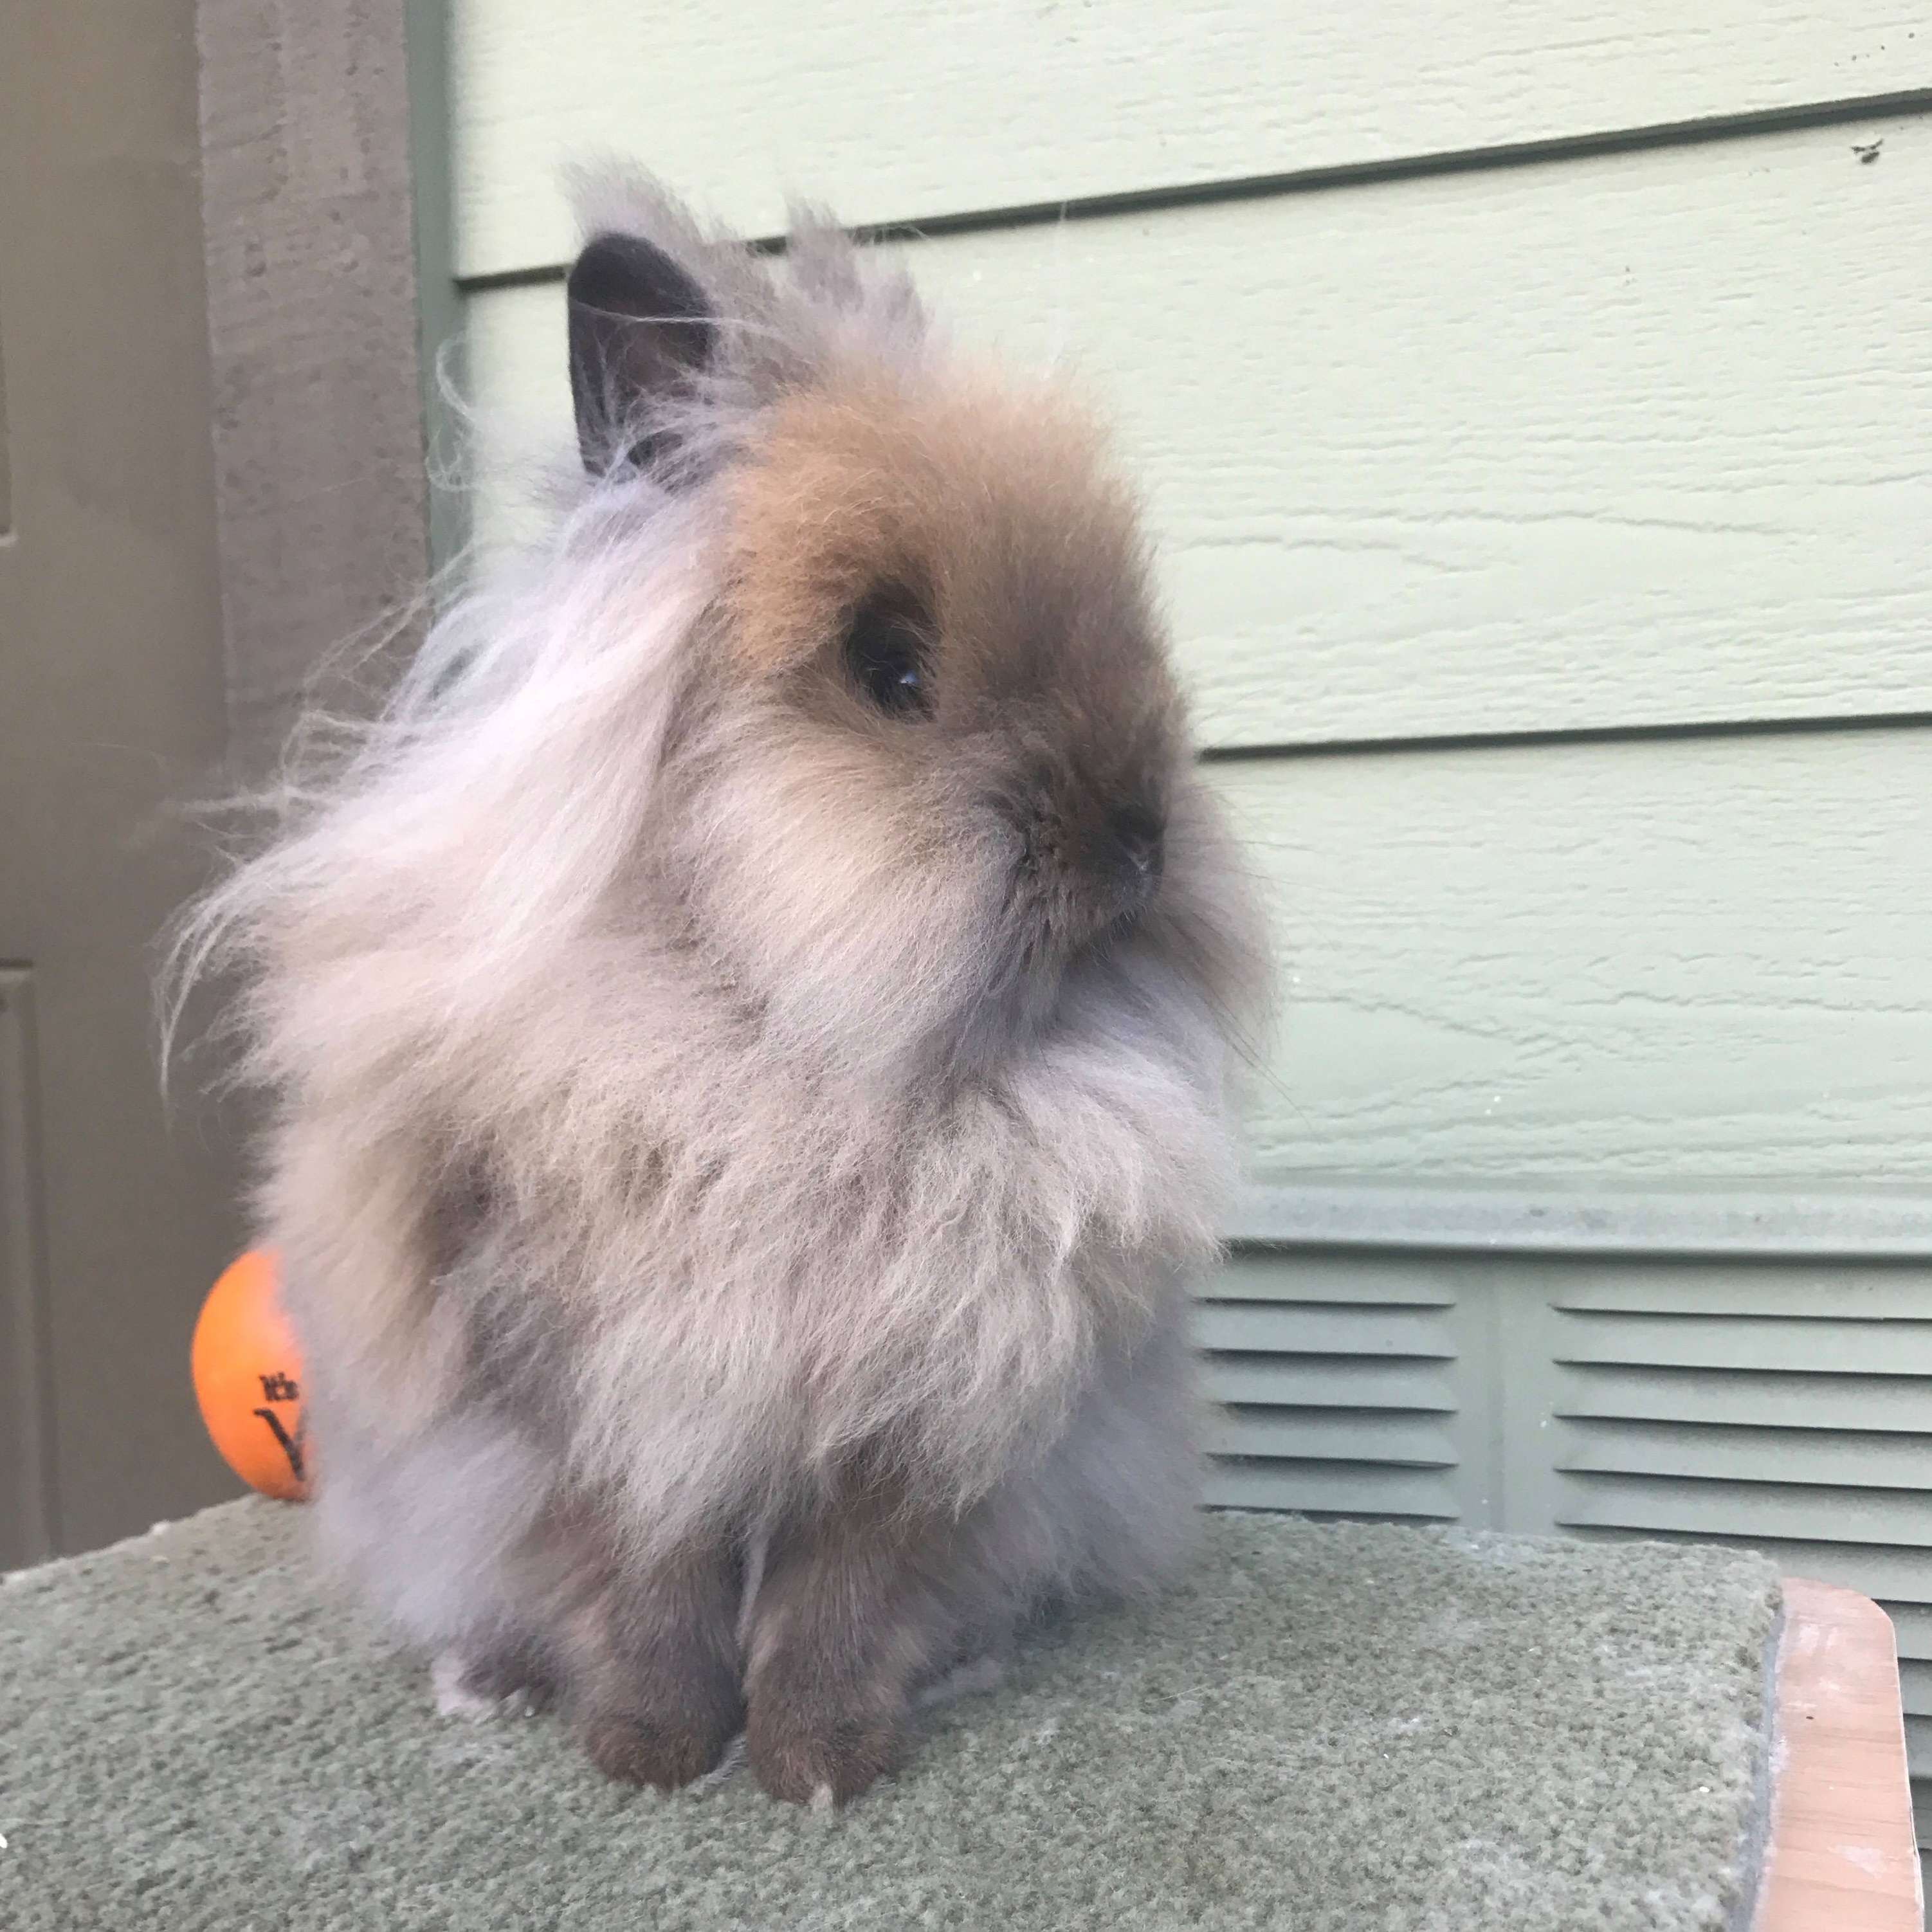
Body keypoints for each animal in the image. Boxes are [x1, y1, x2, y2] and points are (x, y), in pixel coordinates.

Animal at [181, 174, 1267, 1800]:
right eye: (890, 672)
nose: (1137, 835)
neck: (786, 1053)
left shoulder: (925, 1413)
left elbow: (842, 1597)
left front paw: (817, 1762)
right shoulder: (597, 1401)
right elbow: (642, 1582)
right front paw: (647, 1750)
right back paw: (481, 1682)